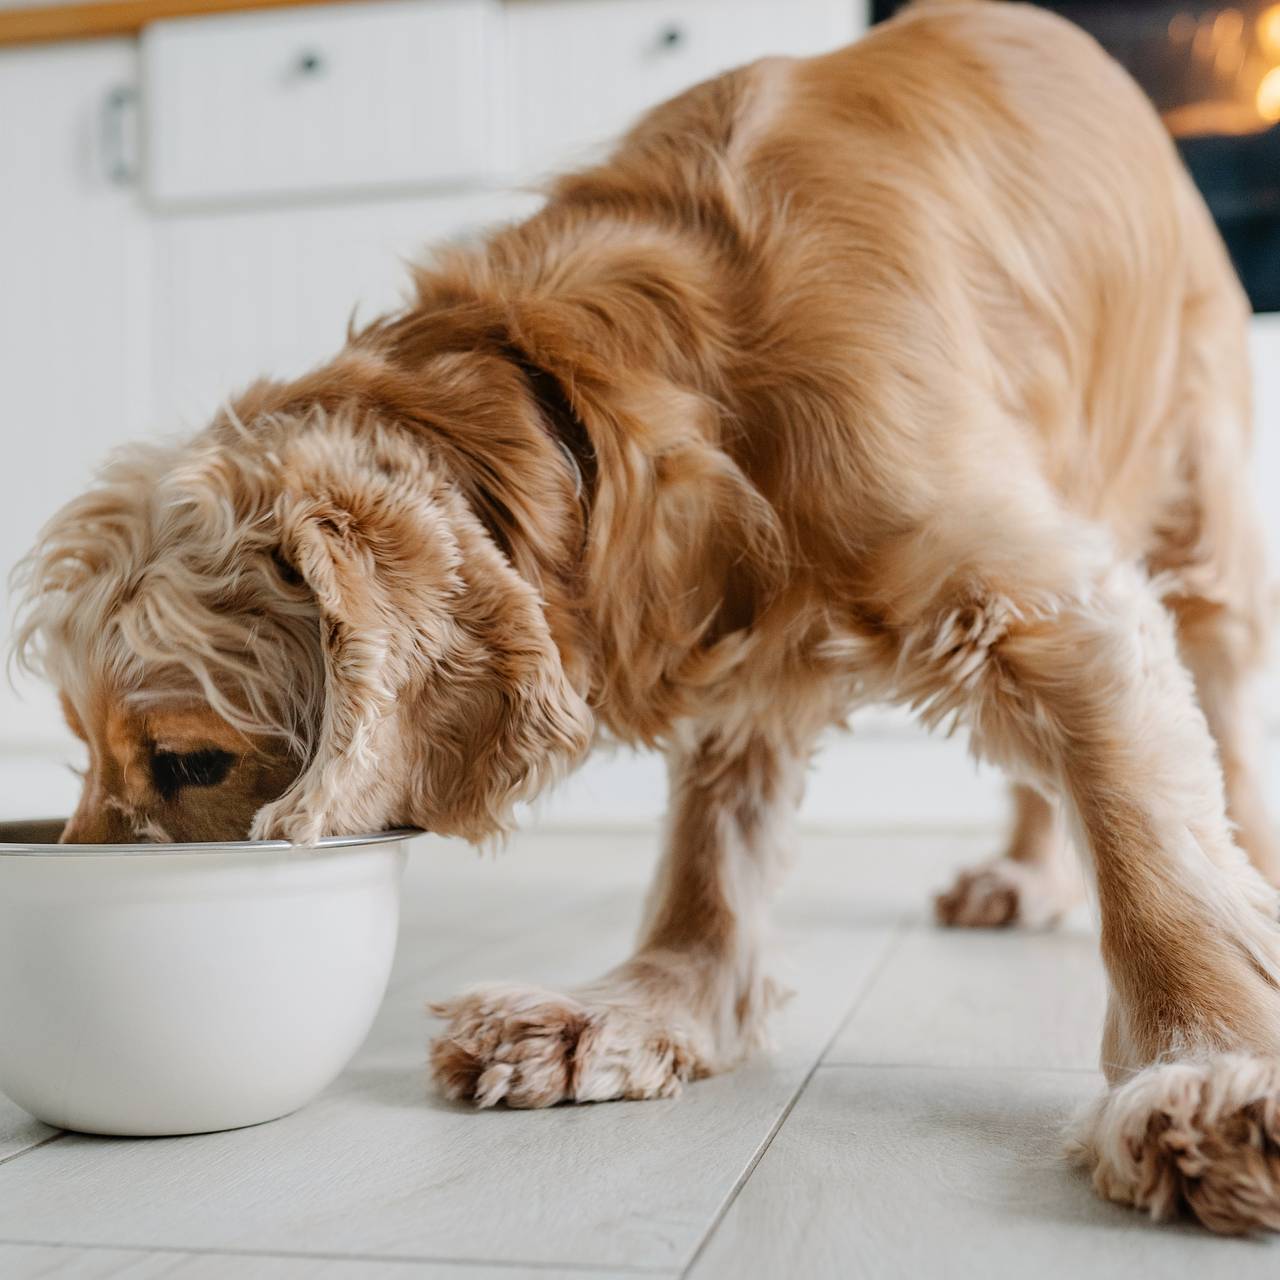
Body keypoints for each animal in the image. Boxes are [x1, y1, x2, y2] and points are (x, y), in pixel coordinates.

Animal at [10, 0, 1280, 1233]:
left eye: (188, 762)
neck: (589, 388)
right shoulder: (740, 648)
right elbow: (709, 853)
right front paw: (634, 1010)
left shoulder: (1036, 591)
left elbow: (1148, 850)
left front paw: (1204, 1069)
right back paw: (1017, 877)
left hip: (1199, 518)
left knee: (1221, 731)